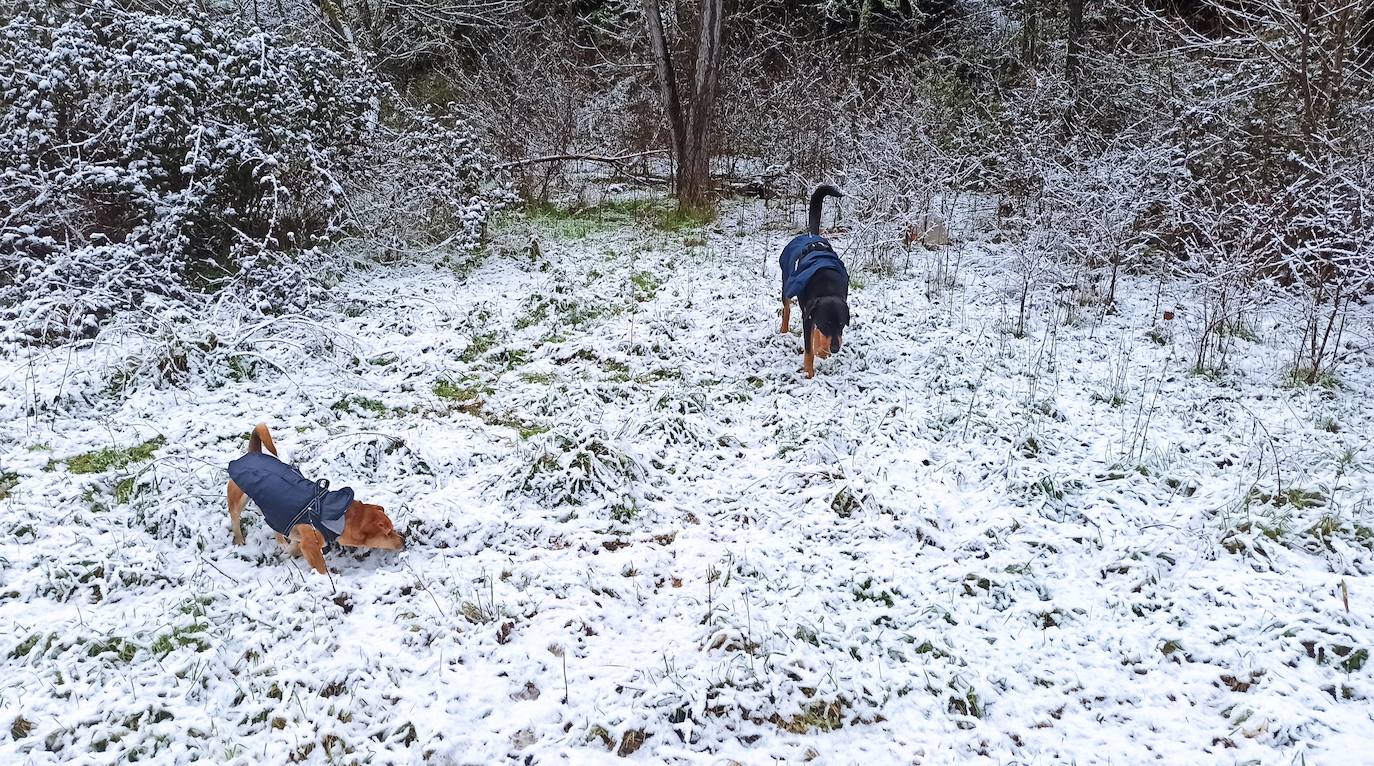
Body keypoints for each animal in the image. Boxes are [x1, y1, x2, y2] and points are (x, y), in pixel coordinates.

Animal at [228, 423, 401, 572]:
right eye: (388, 533)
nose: (403, 540)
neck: (341, 514)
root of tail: (254, 451)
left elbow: (295, 546)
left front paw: (288, 551)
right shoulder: (311, 545)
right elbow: (321, 568)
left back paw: (282, 542)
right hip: (238, 499)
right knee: (235, 518)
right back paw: (239, 540)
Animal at [785, 185, 846, 376]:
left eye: (842, 324)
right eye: (827, 324)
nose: (835, 349)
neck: (827, 287)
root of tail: (812, 237)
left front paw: (823, 351)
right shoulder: (808, 318)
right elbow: (809, 349)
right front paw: (809, 374)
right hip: (787, 285)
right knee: (786, 308)